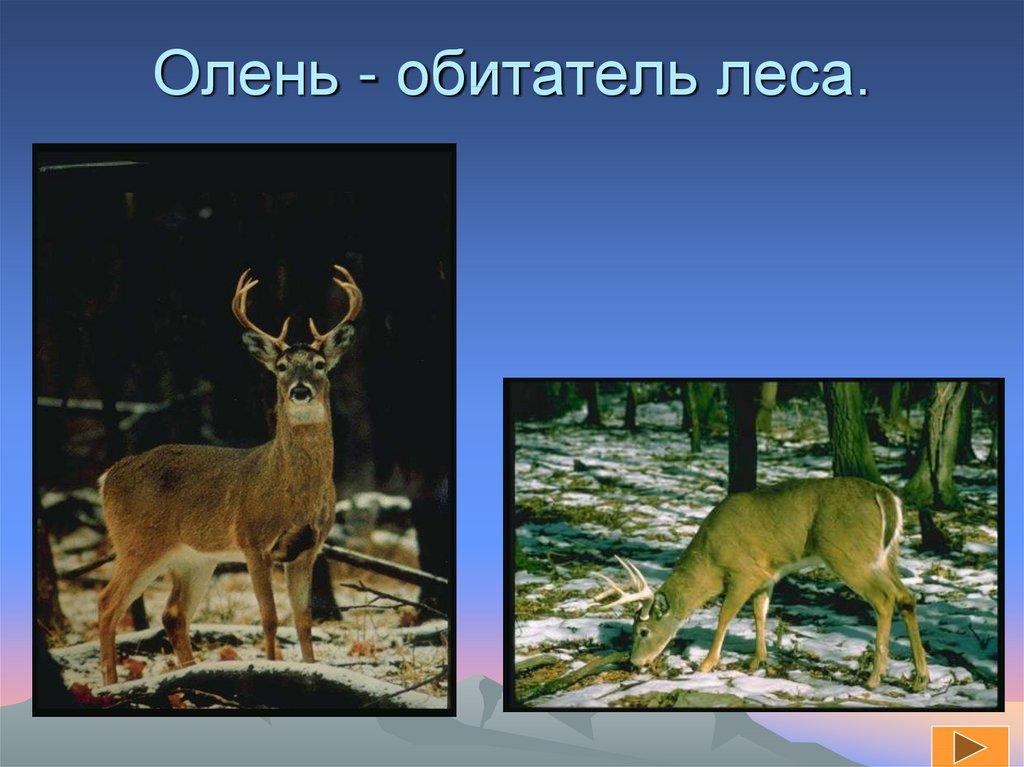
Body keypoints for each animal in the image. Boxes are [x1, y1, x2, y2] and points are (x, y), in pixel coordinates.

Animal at [96, 265, 362, 685]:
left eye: (319, 365)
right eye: (281, 367)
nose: (300, 391)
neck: (291, 495)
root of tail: (107, 477)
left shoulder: (308, 549)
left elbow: (303, 620)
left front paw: (311, 669)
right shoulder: (253, 541)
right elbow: (269, 617)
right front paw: (269, 666)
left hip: (194, 558)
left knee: (173, 614)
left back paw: (187, 671)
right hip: (137, 542)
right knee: (108, 605)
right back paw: (110, 683)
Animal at [590, 477, 930, 691]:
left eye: (643, 631)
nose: (635, 662)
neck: (710, 560)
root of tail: (887, 497)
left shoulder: (744, 573)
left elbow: (724, 616)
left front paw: (706, 664)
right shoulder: (767, 577)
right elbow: (759, 614)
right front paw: (758, 661)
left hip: (848, 554)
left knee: (884, 599)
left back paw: (874, 678)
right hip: (886, 556)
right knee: (907, 597)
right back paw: (920, 678)